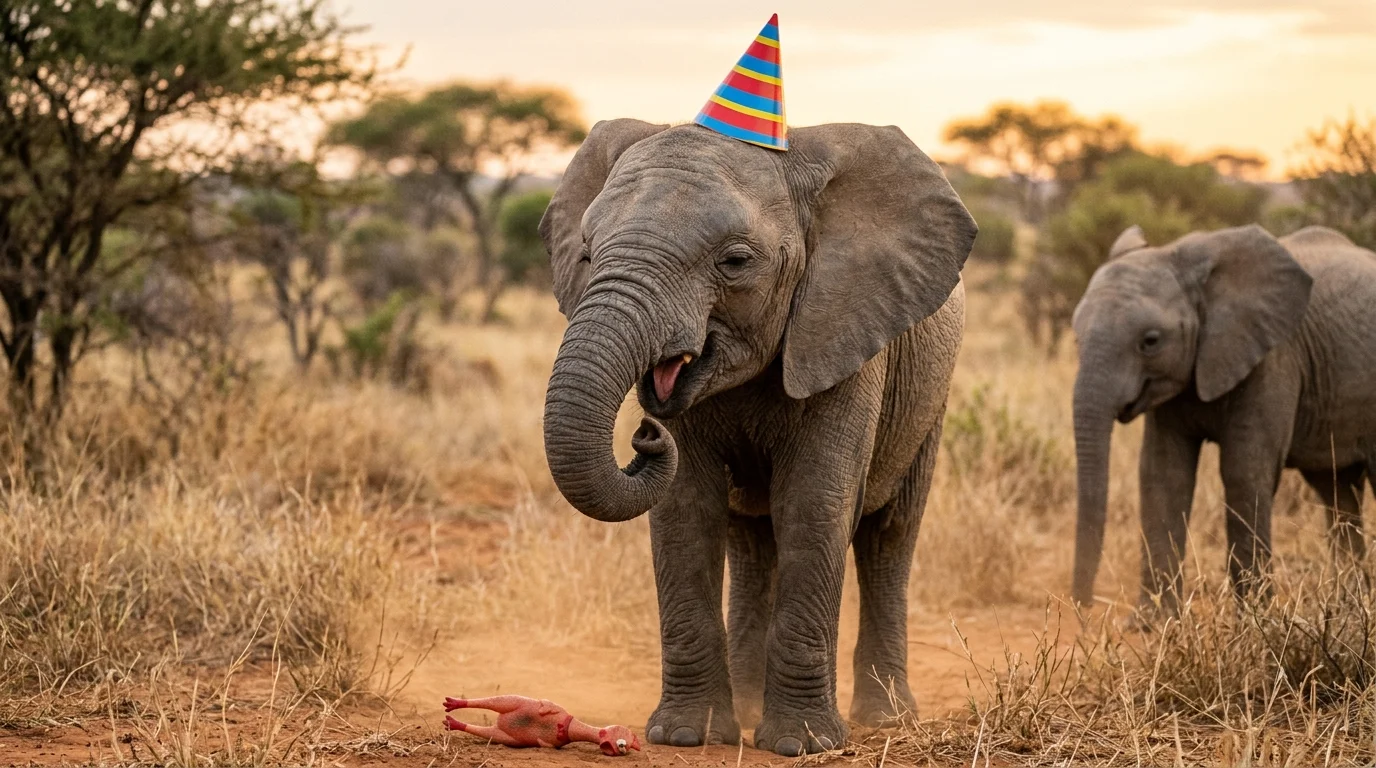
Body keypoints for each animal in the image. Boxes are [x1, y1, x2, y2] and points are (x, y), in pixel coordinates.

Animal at [537, 119, 977, 755]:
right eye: (588, 254)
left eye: (736, 261)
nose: (645, 432)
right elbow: (686, 510)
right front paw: (685, 735)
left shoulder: (841, 331)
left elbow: (814, 505)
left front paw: (802, 744)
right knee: (751, 541)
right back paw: (746, 708)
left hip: (931, 396)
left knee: (889, 537)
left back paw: (886, 718)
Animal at [1070, 223, 1376, 615]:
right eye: (1076, 337)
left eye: (1150, 341)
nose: (1083, 608)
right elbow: (1162, 474)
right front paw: (1154, 621)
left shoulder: (1274, 358)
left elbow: (1243, 470)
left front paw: (1256, 618)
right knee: (1337, 489)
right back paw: (1349, 607)